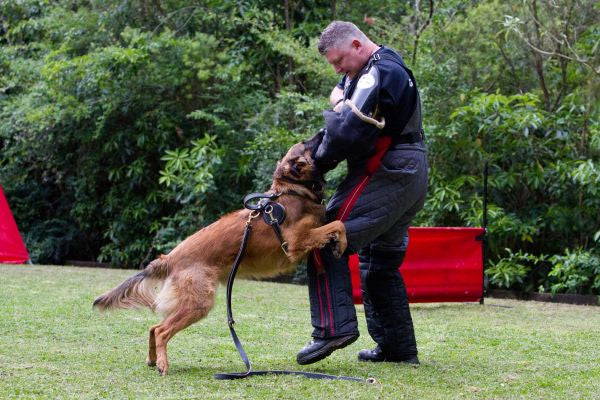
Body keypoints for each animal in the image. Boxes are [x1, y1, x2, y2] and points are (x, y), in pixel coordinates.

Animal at [93, 134, 346, 376]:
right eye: (309, 143)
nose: (324, 130)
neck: (293, 191)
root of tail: (170, 258)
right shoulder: (296, 241)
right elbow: (338, 224)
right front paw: (340, 244)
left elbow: (334, 225)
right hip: (198, 303)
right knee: (162, 331)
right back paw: (163, 364)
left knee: (153, 328)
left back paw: (153, 359)